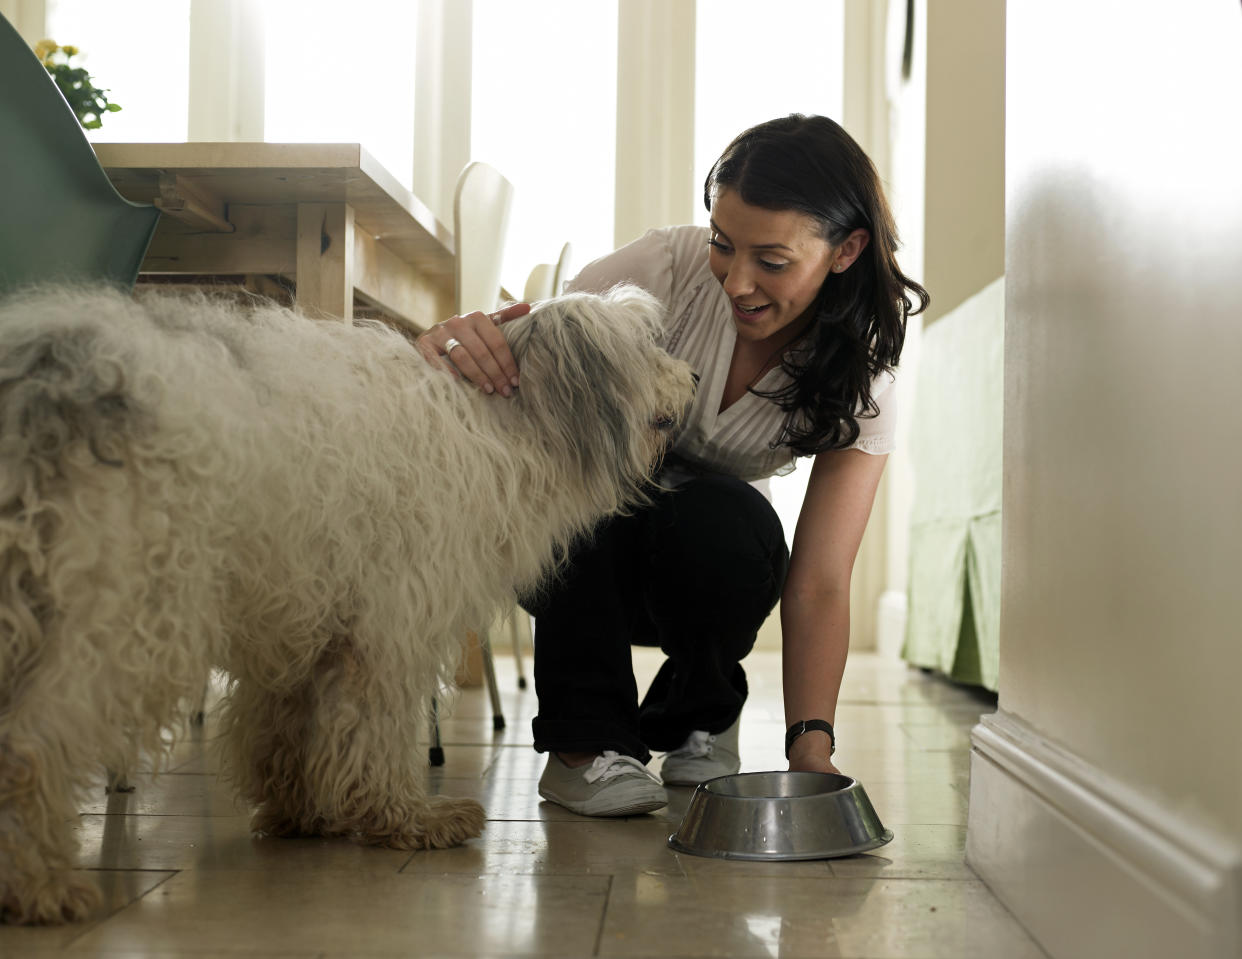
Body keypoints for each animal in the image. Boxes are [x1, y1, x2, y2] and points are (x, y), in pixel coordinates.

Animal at [0, 283, 700, 919]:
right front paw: (407, 818)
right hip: (125, 607)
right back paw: (40, 883)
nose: (694, 376)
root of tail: (45, 369)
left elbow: (284, 725)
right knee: (31, 740)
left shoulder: (308, 613)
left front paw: (302, 813)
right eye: (646, 347)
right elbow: (379, 726)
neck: (498, 421)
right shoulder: (391, 618)